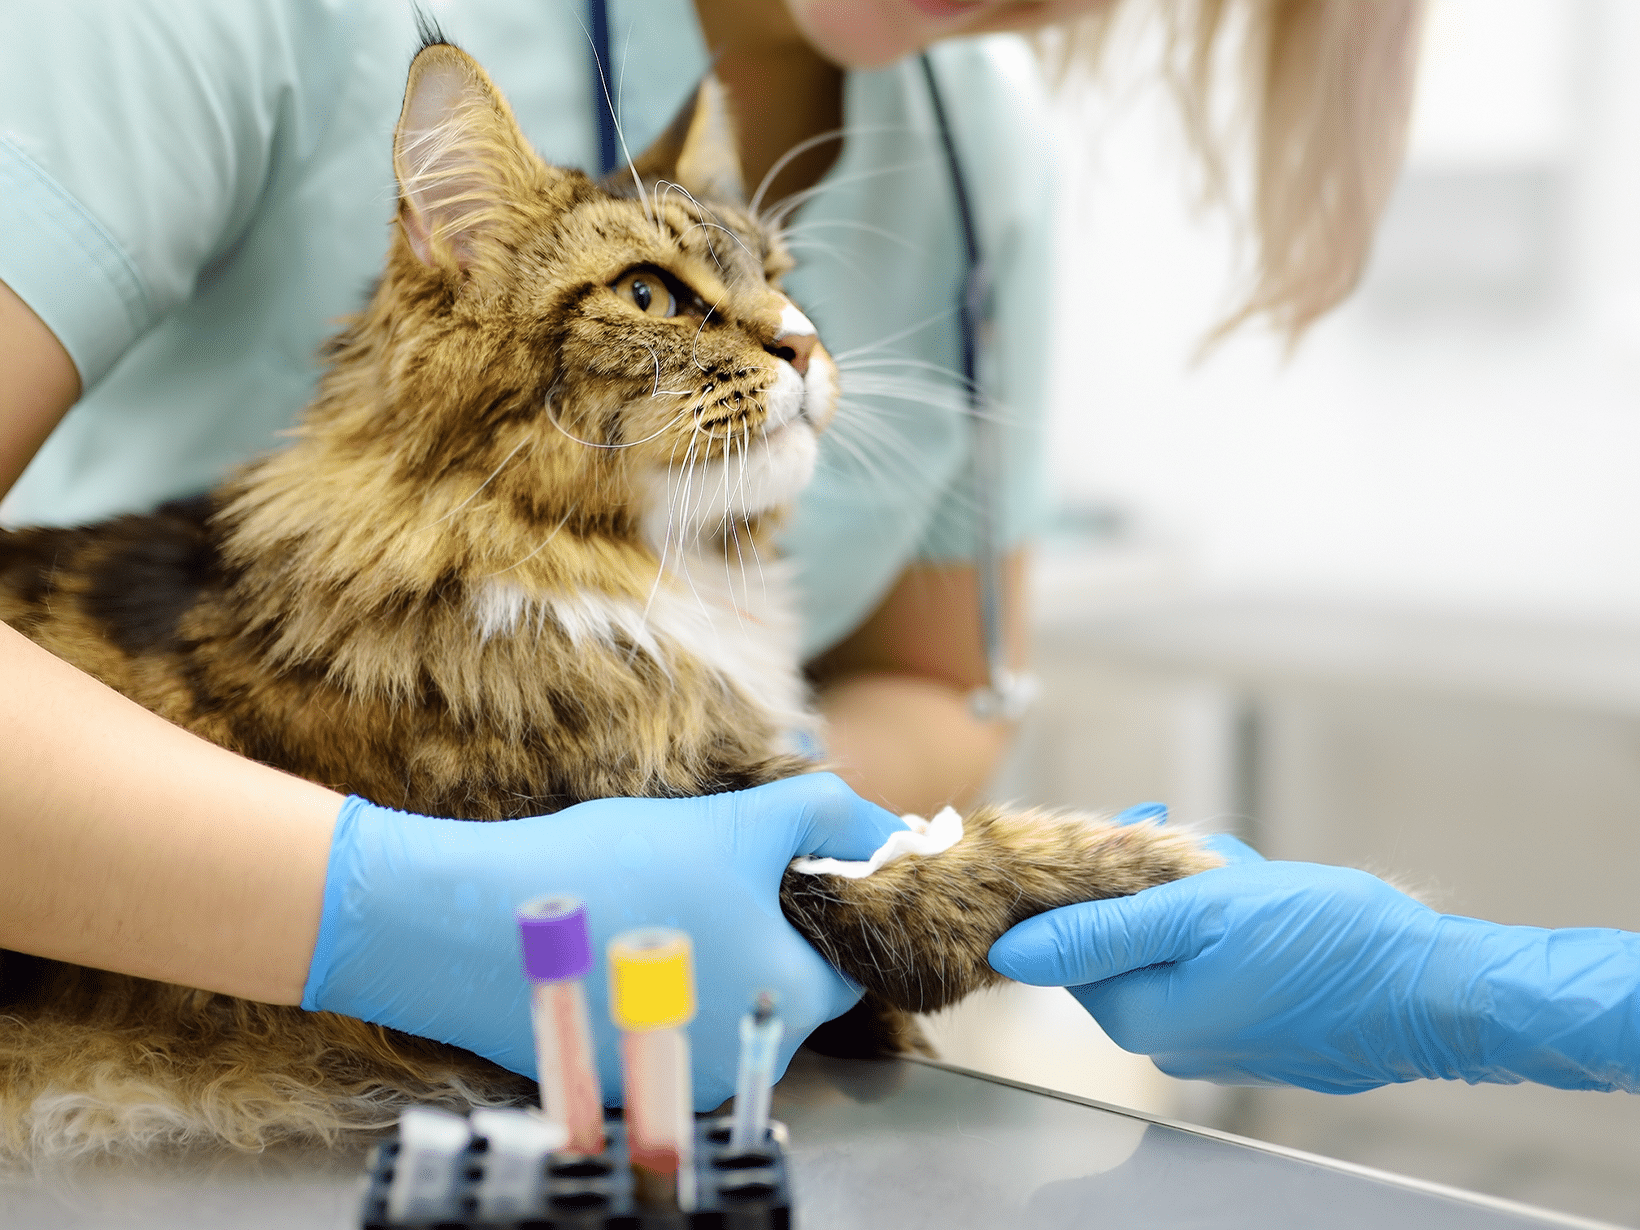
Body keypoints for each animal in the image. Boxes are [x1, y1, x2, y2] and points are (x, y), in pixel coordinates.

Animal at [0, 33, 1220, 1161]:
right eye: (649, 294)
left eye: (781, 277)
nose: (806, 345)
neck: (644, 576)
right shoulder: (719, 835)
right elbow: (965, 867)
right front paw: (1185, 869)